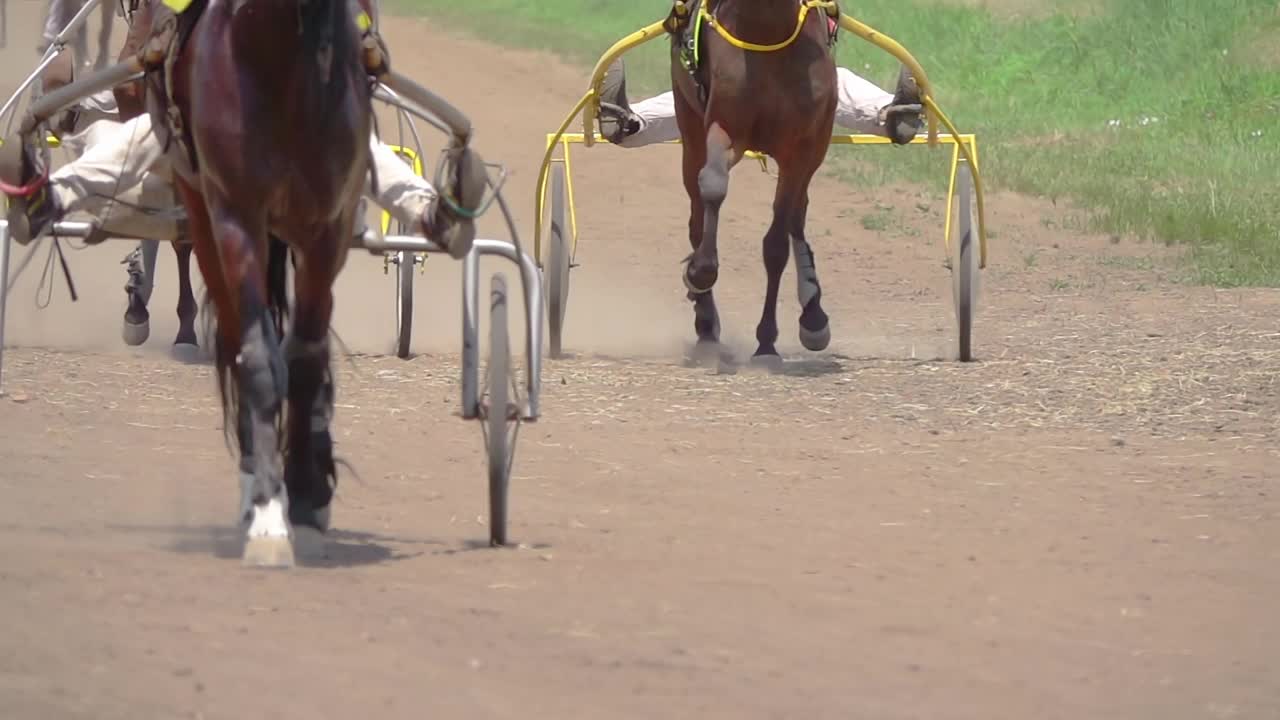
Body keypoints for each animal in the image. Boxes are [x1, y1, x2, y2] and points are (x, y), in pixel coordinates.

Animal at [146, 0, 373, 563]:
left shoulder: (328, 226)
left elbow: (306, 357)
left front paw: (307, 499)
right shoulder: (235, 212)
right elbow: (260, 360)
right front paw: (270, 512)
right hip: (197, 203)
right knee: (232, 337)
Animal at [670, 0, 839, 366]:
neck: (767, 25)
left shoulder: (801, 149)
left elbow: (776, 244)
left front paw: (766, 342)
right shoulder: (724, 126)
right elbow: (713, 185)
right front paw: (700, 272)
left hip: (819, 143)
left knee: (797, 215)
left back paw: (813, 316)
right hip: (688, 125)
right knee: (696, 212)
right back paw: (706, 324)